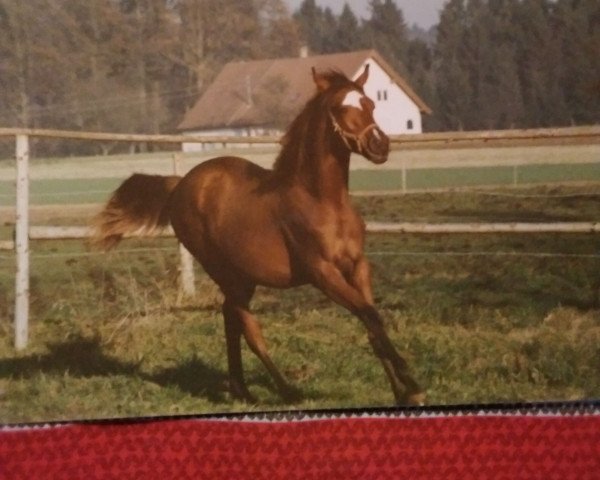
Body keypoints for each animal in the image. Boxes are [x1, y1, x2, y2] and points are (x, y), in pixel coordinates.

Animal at [91, 64, 424, 404]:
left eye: (370, 103)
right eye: (340, 107)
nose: (380, 145)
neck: (323, 201)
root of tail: (180, 184)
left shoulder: (357, 266)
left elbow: (372, 322)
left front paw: (403, 392)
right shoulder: (322, 273)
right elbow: (369, 315)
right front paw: (412, 384)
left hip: (243, 276)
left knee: (230, 317)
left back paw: (243, 390)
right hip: (223, 271)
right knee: (247, 326)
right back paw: (286, 391)